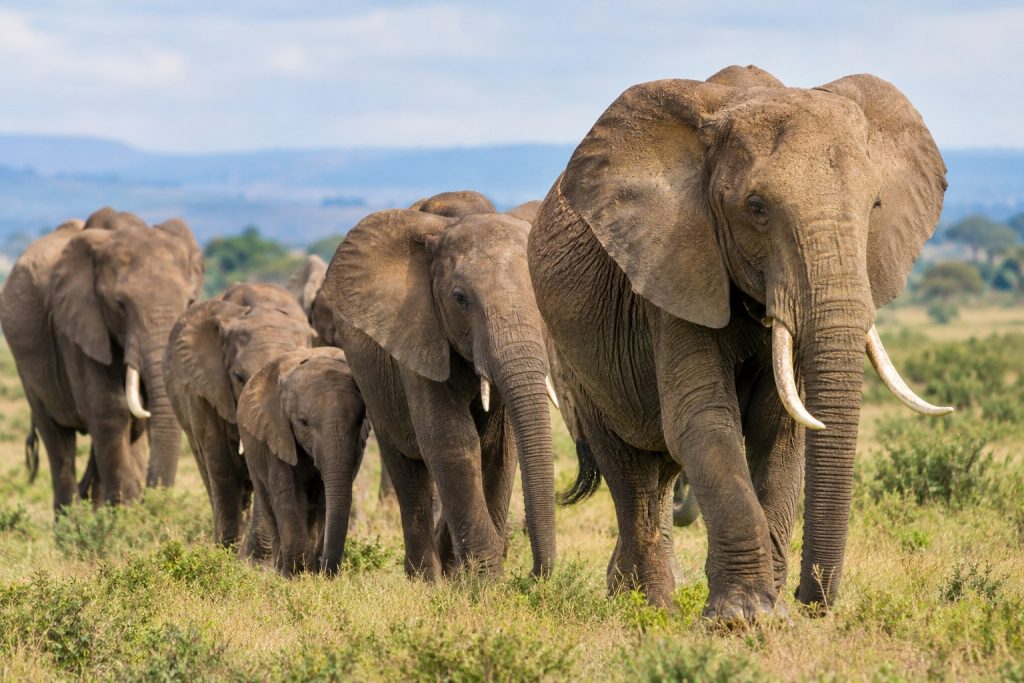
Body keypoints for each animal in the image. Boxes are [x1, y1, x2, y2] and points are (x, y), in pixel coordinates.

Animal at [0, 208, 203, 510]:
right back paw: (72, 518)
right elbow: (110, 411)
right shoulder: (77, 327)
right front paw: (126, 515)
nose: (153, 501)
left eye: (190, 302)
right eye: (120, 305)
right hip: (25, 365)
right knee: (58, 440)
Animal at [237, 346, 369, 576]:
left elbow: (328, 497)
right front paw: (297, 576)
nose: (324, 566)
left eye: (361, 419)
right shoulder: (277, 432)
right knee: (268, 503)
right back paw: (280, 568)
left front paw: (312, 573)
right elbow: (289, 495)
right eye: (303, 422)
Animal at [321, 208, 558, 579]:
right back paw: (427, 579)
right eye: (460, 299)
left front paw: (475, 578)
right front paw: (488, 583)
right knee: (406, 468)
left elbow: (498, 448)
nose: (534, 577)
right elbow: (451, 440)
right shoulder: (417, 333)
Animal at [527, 64, 952, 621]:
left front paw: (775, 616)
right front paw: (741, 619)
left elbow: (781, 428)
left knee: (660, 476)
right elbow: (703, 419)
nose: (811, 601)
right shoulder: (673, 264)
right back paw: (652, 610)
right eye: (756, 208)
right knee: (630, 474)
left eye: (876, 205)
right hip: (575, 361)